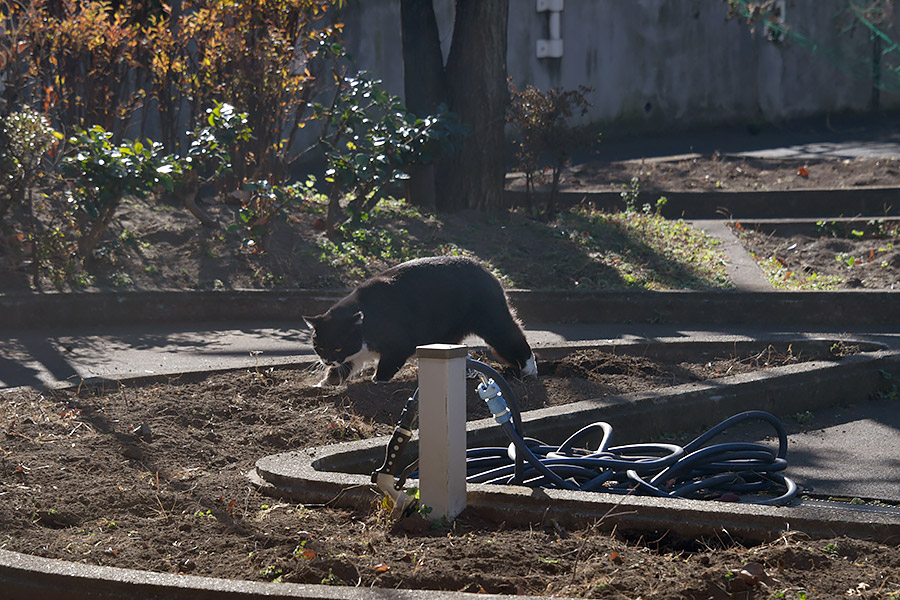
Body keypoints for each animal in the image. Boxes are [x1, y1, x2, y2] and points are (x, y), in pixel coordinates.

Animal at [306, 254, 536, 384]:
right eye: (320, 346)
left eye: (337, 347)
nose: (326, 360)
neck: (367, 321)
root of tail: (487, 270)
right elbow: (346, 365)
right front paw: (325, 383)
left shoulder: (400, 344)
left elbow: (386, 364)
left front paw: (377, 380)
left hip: (492, 321)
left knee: (513, 338)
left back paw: (528, 371)